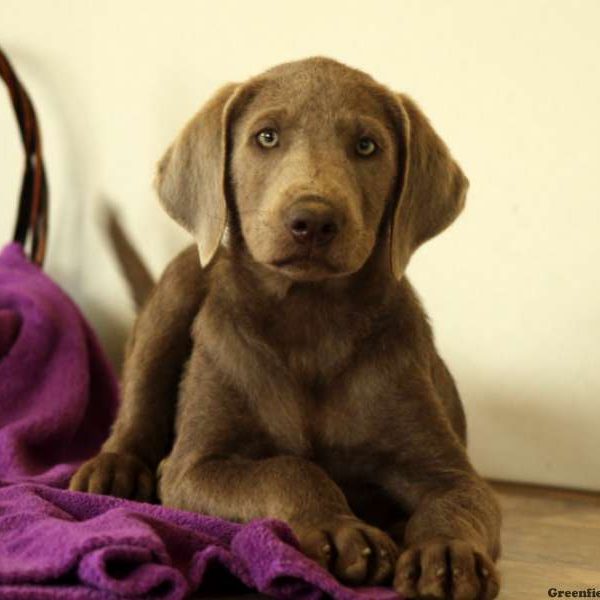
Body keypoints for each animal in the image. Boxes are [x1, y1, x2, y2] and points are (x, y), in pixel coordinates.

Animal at [70, 57, 502, 600]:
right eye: (267, 137)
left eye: (367, 146)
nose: (313, 220)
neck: (309, 320)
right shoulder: (192, 466)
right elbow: (287, 469)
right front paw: (340, 528)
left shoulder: (453, 472)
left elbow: (456, 502)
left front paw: (447, 553)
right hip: (177, 287)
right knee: (136, 408)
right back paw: (113, 469)